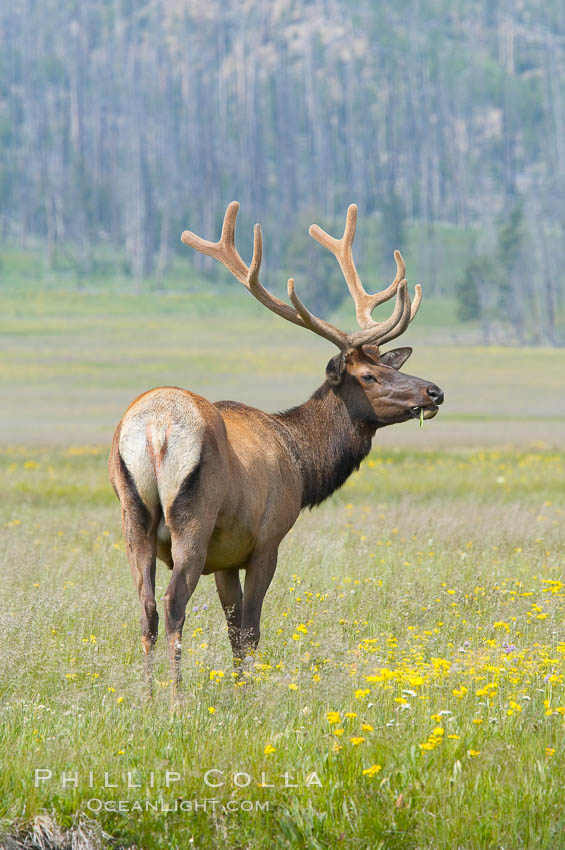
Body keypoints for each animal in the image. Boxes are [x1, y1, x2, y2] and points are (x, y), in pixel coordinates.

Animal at [109, 202, 440, 700]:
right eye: (369, 376)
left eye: (388, 365)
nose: (434, 391)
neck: (302, 465)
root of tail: (154, 429)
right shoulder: (266, 539)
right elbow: (250, 629)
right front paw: (249, 697)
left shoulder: (225, 557)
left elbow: (232, 629)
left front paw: (239, 689)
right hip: (193, 516)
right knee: (172, 602)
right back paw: (176, 700)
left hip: (134, 515)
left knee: (146, 605)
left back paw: (146, 697)